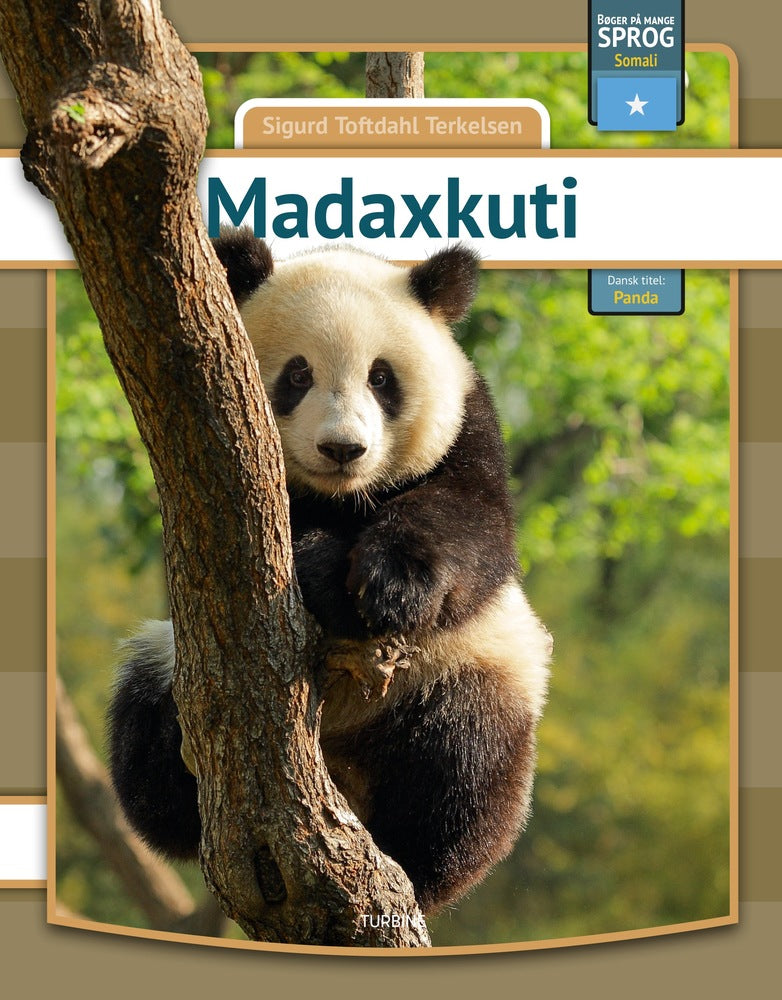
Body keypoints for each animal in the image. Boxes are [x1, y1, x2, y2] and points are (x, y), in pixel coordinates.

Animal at [107, 229, 552, 915]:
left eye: (381, 377)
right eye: (298, 373)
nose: (343, 449)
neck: (342, 498)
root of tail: (341, 771)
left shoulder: (469, 428)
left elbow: (473, 528)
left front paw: (384, 584)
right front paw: (322, 569)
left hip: (463, 670)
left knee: (467, 761)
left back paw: (417, 864)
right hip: (174, 660)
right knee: (146, 732)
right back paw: (178, 776)